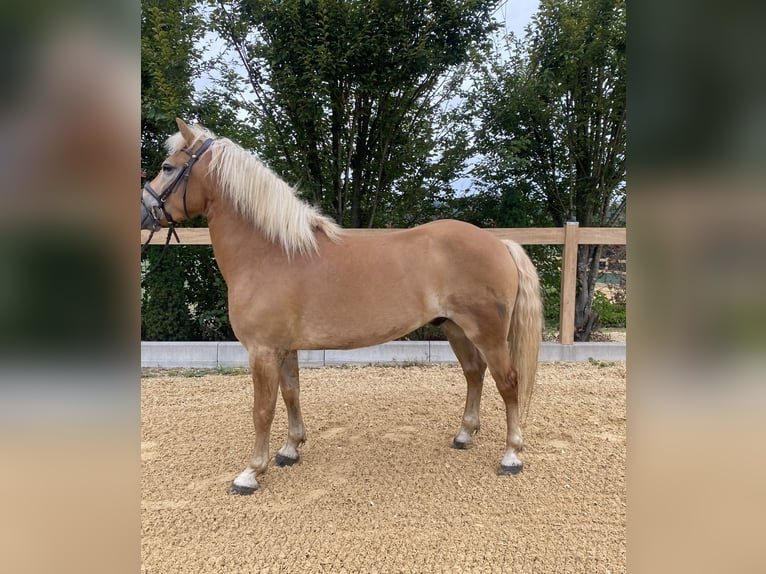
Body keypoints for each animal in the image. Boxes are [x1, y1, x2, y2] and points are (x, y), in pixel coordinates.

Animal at [141, 118, 544, 496]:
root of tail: (499, 243)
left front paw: (251, 472)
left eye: (167, 167)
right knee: (474, 374)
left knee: (508, 383)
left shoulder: (263, 351)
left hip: (488, 334)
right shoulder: (284, 349)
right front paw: (290, 449)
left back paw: (511, 455)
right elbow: (291, 394)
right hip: (455, 327)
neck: (272, 253)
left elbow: (262, 410)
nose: (144, 213)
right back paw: (464, 435)